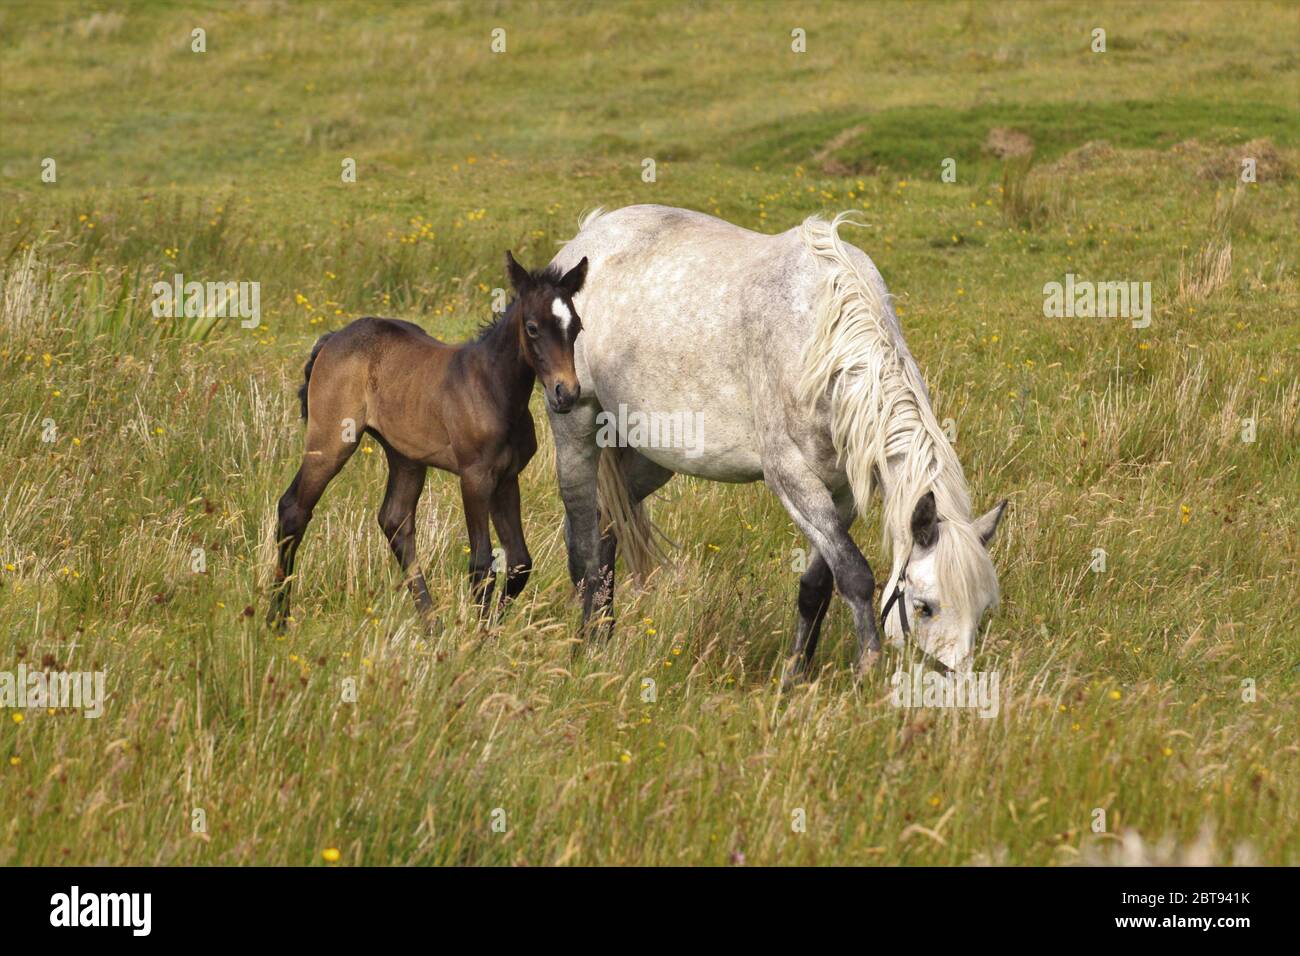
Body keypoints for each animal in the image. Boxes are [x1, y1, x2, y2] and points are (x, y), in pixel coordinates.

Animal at [267, 251, 589, 630]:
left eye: (576, 327)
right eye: (533, 328)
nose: (566, 393)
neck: (494, 389)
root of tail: (332, 339)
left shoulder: (507, 477)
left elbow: (520, 562)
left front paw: (491, 631)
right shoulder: (475, 477)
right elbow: (482, 564)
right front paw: (475, 639)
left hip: (405, 456)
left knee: (395, 521)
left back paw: (432, 624)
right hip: (331, 441)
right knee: (294, 509)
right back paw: (277, 619)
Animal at [546, 205, 1006, 677]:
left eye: (982, 610)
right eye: (924, 606)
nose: (951, 682)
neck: (824, 342)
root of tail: (588, 233)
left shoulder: (841, 492)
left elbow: (817, 585)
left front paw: (795, 677)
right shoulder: (792, 478)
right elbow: (855, 575)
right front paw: (866, 666)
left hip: (650, 459)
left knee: (605, 528)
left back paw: (603, 636)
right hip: (575, 426)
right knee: (583, 540)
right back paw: (588, 645)